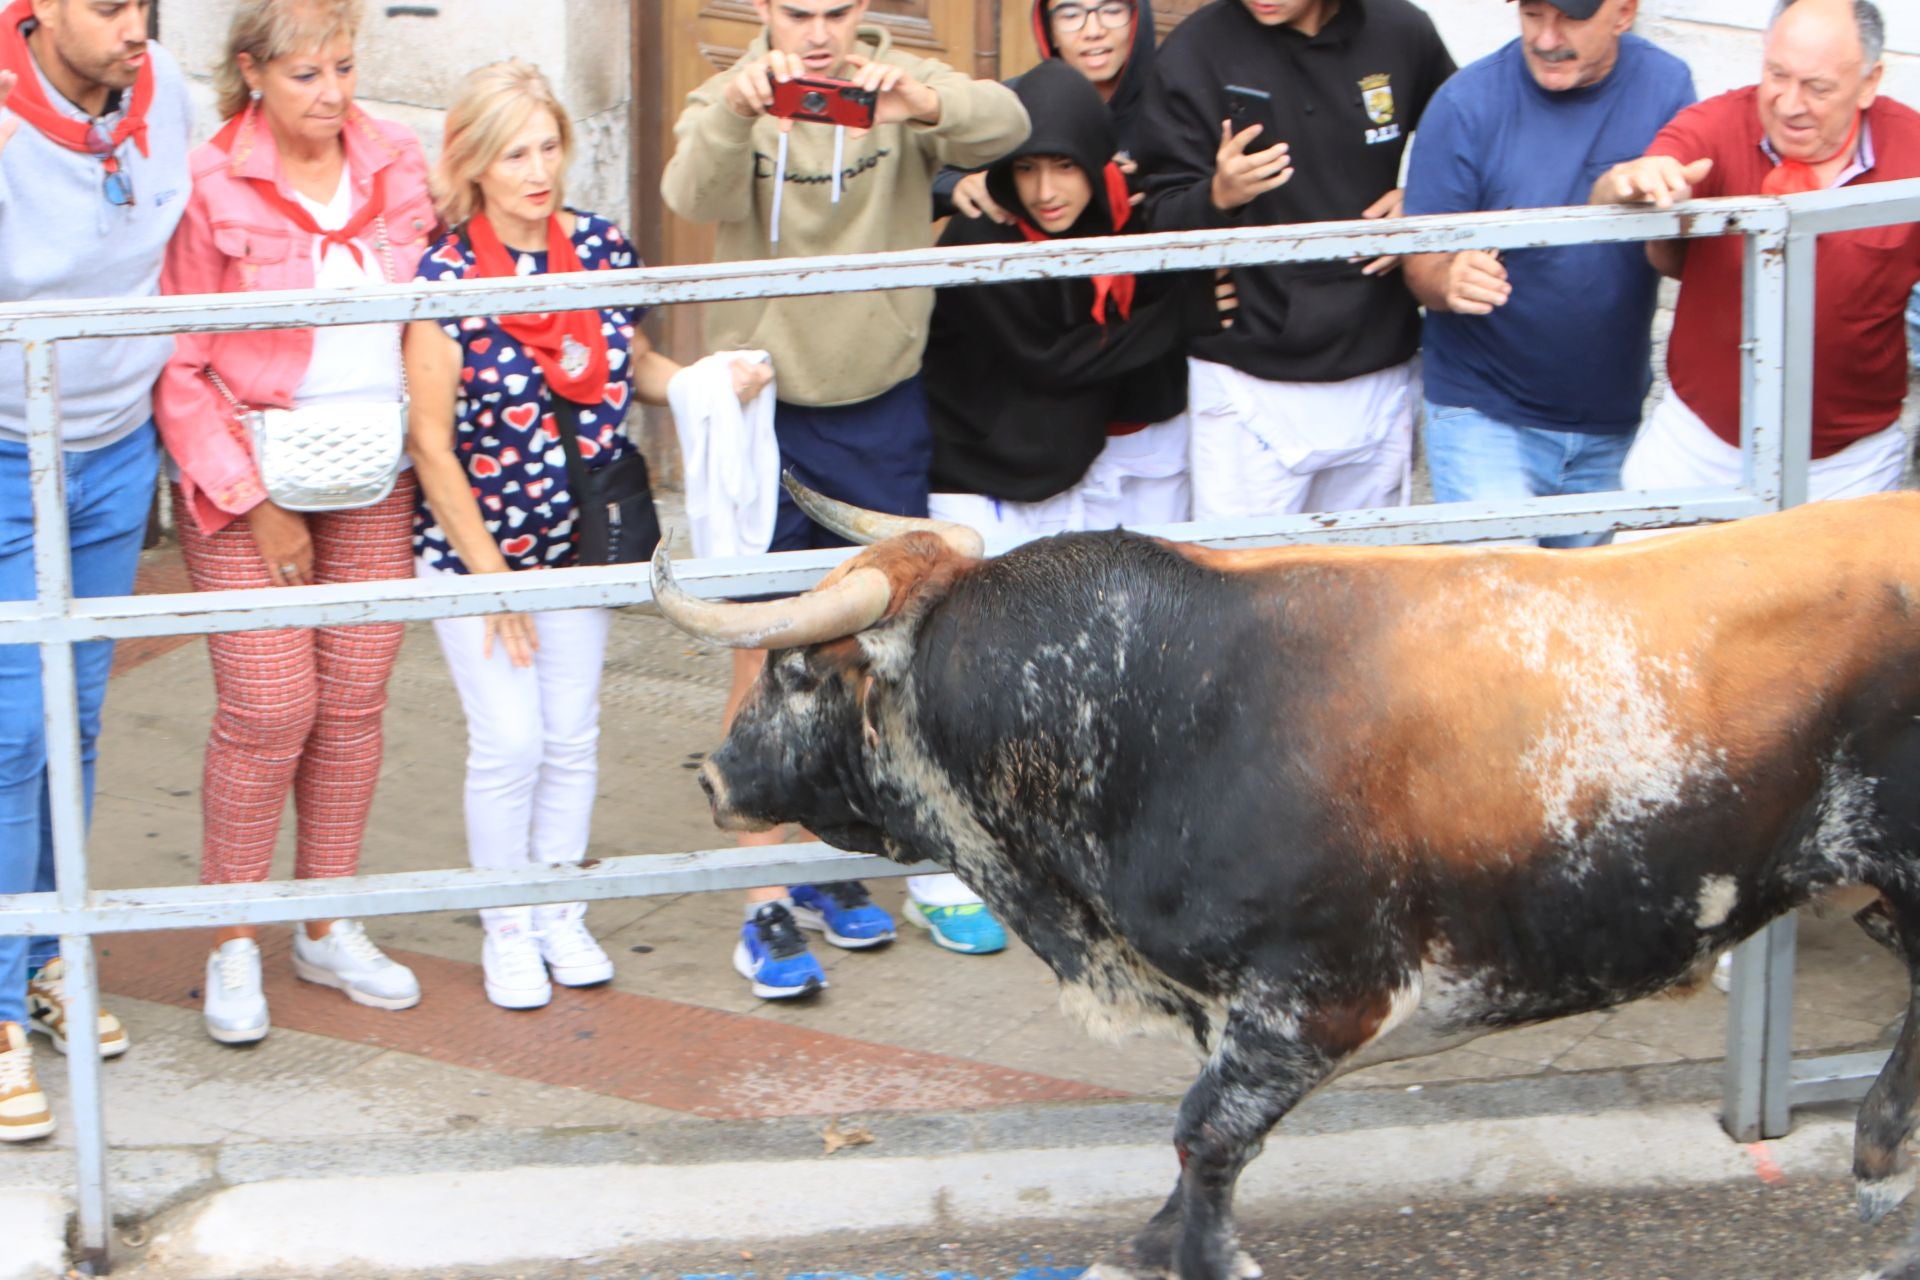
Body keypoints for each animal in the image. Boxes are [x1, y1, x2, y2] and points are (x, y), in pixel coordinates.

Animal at [652, 483, 1920, 1280]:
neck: (1148, 706)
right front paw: (1150, 1245)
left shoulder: (1315, 1001)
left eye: (798, 668)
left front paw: (1203, 1251)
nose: (711, 773)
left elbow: (1204, 1134)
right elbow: (1195, 1141)